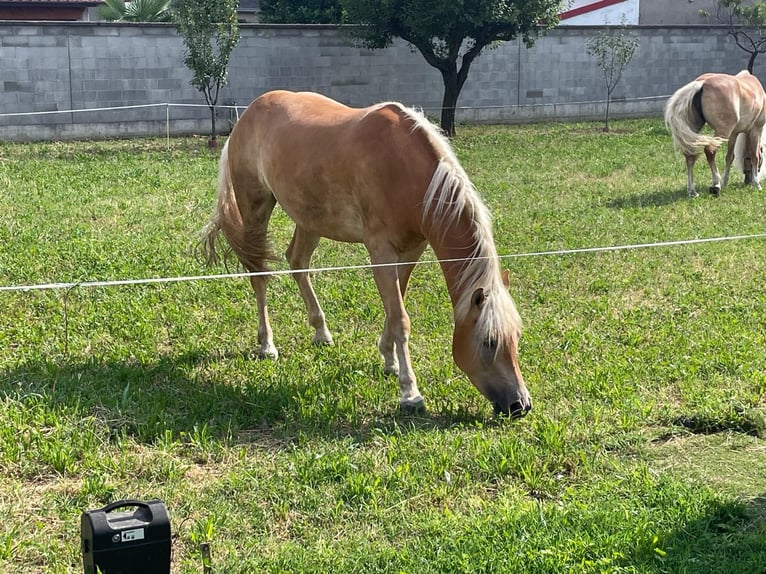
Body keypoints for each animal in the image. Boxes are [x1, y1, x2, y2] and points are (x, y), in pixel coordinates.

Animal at [201, 90, 532, 418]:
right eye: (489, 342)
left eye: (516, 337)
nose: (520, 404)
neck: (405, 170)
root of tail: (248, 114)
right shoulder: (380, 251)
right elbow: (400, 319)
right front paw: (410, 392)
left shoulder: (411, 250)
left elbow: (395, 307)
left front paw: (390, 361)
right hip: (255, 208)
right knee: (259, 273)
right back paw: (267, 344)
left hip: (310, 219)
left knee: (297, 261)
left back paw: (321, 332)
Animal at [664, 70, 766, 198]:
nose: (747, 180)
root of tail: (701, 83)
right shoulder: (756, 130)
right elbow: (754, 155)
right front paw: (757, 184)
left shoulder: (733, 134)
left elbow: (729, 157)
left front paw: (725, 181)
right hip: (722, 132)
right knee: (710, 151)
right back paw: (716, 184)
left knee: (690, 156)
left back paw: (692, 191)